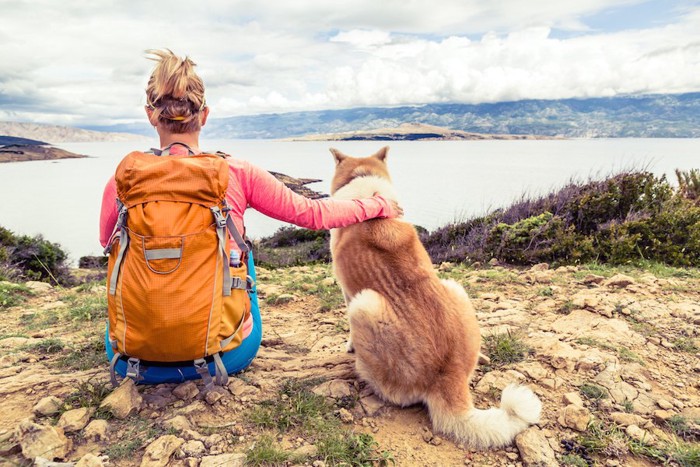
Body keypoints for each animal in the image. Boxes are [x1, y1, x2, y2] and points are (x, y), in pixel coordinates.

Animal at [328, 146, 540, 450]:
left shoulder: (348, 293)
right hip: (455, 288)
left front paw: (349, 346)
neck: (367, 186)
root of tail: (447, 376)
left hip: (364, 304)